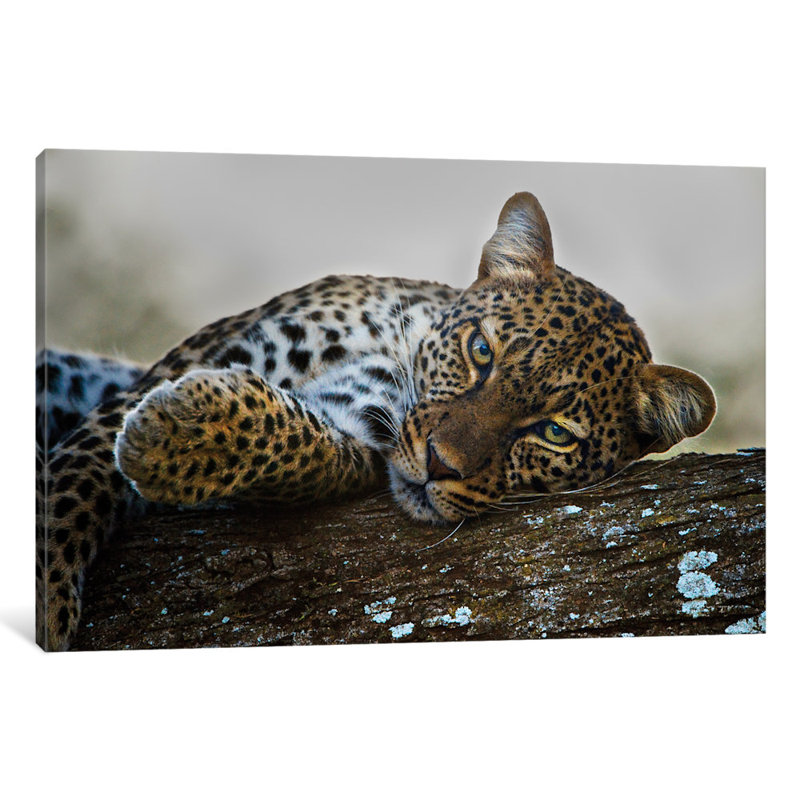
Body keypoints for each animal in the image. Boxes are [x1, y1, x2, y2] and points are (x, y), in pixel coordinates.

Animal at [36, 191, 716, 651]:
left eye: (554, 433)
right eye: (481, 352)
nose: (441, 465)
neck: (397, 344)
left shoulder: (358, 431)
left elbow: (303, 448)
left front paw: (174, 435)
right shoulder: (174, 368)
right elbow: (70, 491)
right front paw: (46, 603)